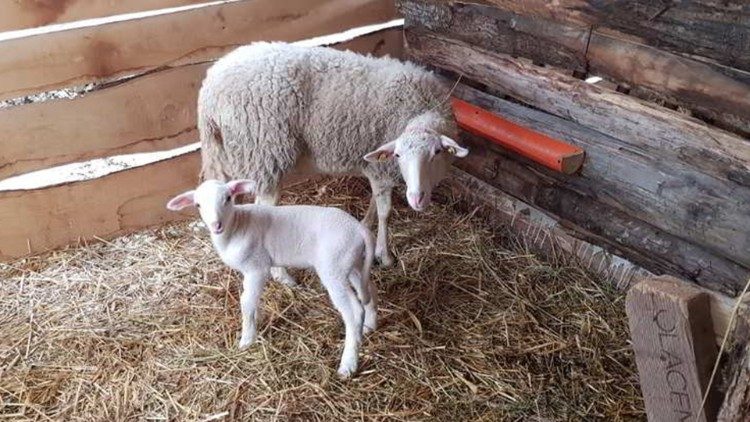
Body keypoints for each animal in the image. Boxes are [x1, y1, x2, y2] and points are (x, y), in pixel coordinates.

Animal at [164, 180, 376, 378]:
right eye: (198, 204)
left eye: (228, 198)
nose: (216, 225)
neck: (236, 227)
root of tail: (359, 229)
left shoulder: (257, 268)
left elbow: (246, 301)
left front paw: (247, 338)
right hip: (351, 263)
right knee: (367, 289)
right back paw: (369, 325)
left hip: (333, 267)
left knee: (353, 310)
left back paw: (348, 364)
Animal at [200, 41, 470, 286]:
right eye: (399, 155)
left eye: (436, 152)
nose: (416, 198)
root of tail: (209, 88)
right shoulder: (381, 170)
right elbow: (385, 212)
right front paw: (384, 255)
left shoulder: (375, 166)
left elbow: (374, 205)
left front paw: (365, 225)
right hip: (266, 153)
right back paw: (283, 276)